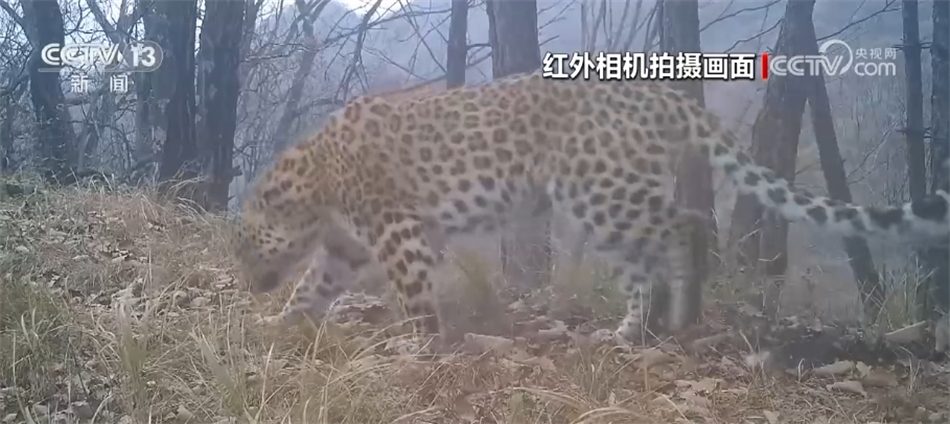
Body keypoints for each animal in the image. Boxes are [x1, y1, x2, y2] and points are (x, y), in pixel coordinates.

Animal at [233, 71, 950, 345]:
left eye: (243, 244)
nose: (246, 280)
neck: (312, 186)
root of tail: (663, 92)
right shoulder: (348, 244)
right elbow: (313, 286)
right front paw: (278, 325)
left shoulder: (398, 230)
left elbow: (412, 295)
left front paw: (420, 343)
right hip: (603, 205)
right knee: (646, 261)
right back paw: (630, 331)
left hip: (600, 193)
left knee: (686, 225)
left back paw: (679, 315)